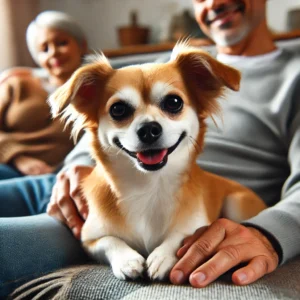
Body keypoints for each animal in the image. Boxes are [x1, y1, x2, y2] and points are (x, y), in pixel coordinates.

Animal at [48, 44, 266, 282]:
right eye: (118, 109)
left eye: (174, 102)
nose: (148, 129)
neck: (148, 185)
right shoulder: (89, 240)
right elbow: (109, 240)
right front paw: (127, 260)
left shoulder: (199, 226)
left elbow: (182, 235)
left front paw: (162, 256)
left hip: (236, 203)